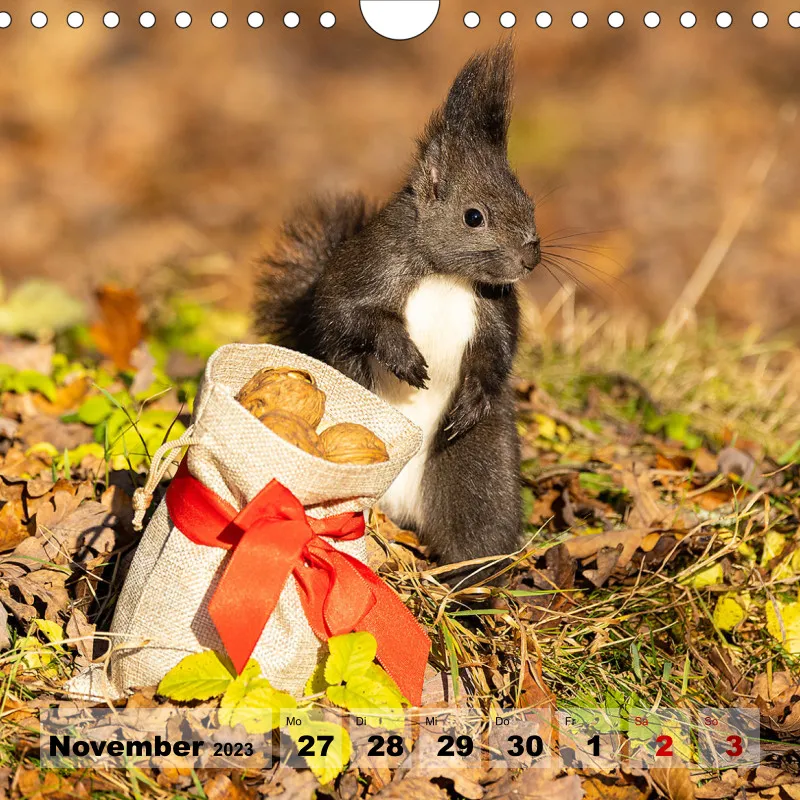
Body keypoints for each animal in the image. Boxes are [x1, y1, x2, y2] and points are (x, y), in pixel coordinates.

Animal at [254, 42, 540, 585]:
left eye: (529, 202)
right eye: (474, 216)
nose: (530, 259)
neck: (445, 275)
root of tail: (401, 510)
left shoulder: (495, 308)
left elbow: (496, 356)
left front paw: (473, 397)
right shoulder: (370, 268)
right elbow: (344, 315)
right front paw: (403, 355)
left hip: (480, 467)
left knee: (479, 530)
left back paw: (469, 585)